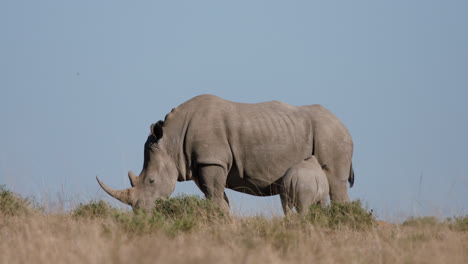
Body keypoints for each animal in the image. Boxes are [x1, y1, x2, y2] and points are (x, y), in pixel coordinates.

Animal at [98, 95, 354, 212]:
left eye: (151, 181)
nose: (140, 212)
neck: (172, 139)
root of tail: (343, 124)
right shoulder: (200, 164)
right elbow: (218, 199)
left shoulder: (212, 161)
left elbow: (215, 198)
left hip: (331, 135)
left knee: (335, 183)